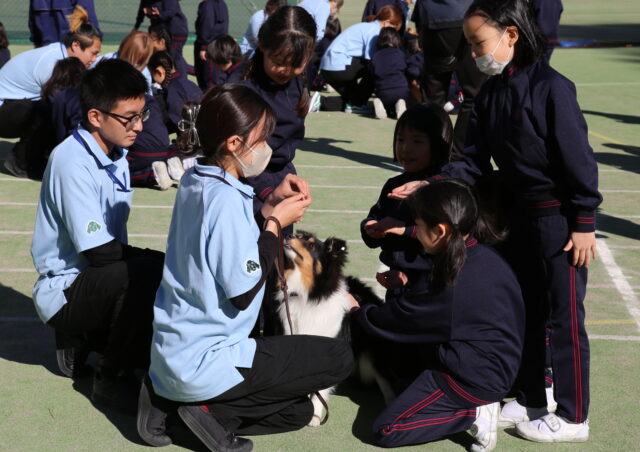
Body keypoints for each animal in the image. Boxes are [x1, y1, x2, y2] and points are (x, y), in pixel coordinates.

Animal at [276, 231, 396, 426]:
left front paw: (315, 416)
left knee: (381, 372)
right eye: (298, 235)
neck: (311, 295)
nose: (286, 236)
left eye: (311, 245)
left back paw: (390, 399)